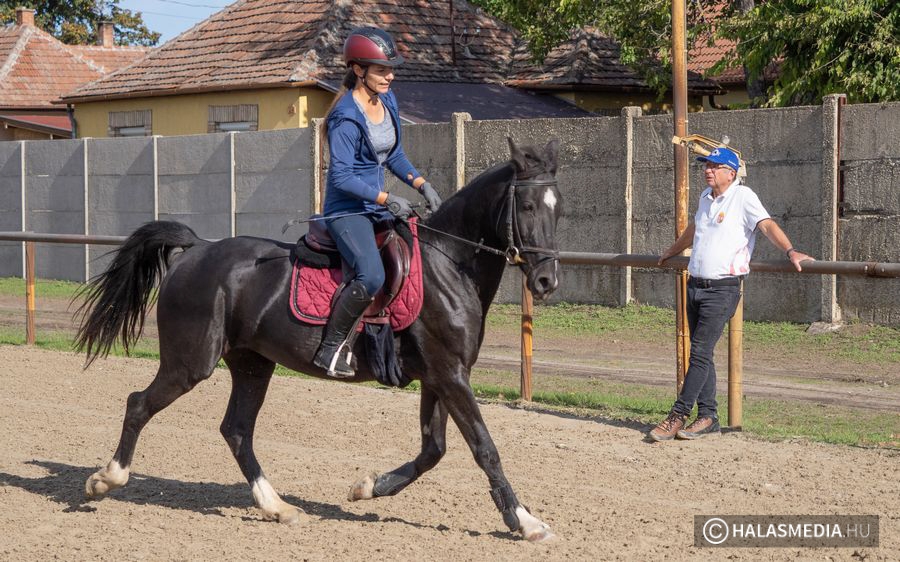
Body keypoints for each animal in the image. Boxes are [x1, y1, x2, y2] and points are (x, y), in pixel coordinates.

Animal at [81, 136, 568, 540]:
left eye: (558, 207)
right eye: (526, 206)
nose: (546, 281)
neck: (448, 265)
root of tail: (197, 250)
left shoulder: (440, 377)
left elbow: (434, 450)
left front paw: (368, 487)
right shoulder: (450, 376)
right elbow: (484, 449)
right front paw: (525, 522)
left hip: (252, 365)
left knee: (237, 430)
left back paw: (278, 507)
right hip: (190, 363)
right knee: (139, 404)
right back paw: (106, 479)